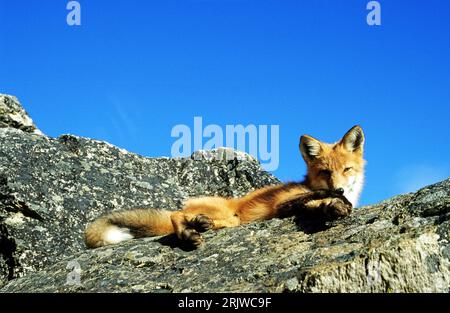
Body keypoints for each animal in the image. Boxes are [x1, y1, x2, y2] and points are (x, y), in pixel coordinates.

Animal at [84, 125, 366, 247]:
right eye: (325, 172)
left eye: (346, 170)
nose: (340, 189)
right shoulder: (282, 204)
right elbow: (314, 196)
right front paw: (333, 200)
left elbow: (317, 205)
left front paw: (334, 206)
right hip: (223, 212)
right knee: (175, 215)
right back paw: (187, 233)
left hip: (231, 221)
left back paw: (199, 225)